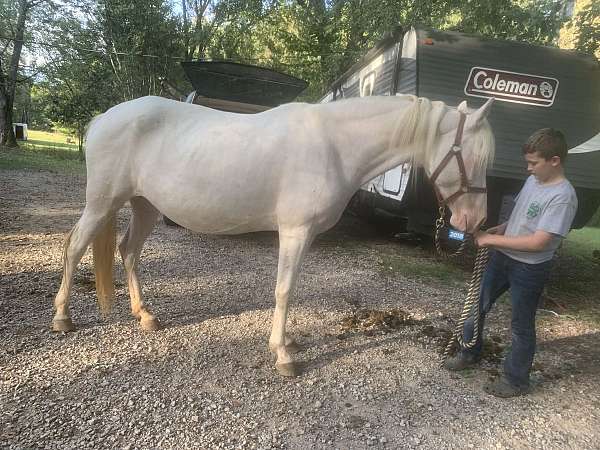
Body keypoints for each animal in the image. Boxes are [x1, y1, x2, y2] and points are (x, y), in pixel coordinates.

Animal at [51, 94, 494, 376]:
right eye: (470, 156)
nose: (475, 220)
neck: (334, 146)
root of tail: (104, 118)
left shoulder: (307, 236)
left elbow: (290, 288)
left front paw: (287, 343)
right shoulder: (294, 232)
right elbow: (283, 290)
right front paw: (283, 355)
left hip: (145, 206)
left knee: (128, 251)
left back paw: (144, 315)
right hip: (103, 202)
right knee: (74, 247)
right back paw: (62, 318)